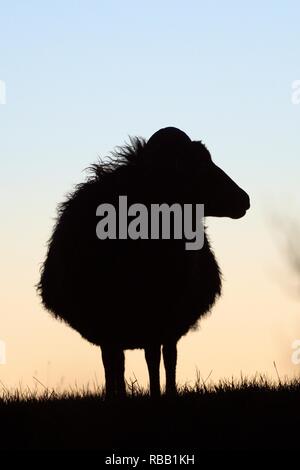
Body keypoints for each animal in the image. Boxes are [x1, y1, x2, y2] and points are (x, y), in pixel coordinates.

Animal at [37, 127, 250, 396]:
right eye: (200, 165)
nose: (245, 199)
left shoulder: (161, 316)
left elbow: (156, 358)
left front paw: (158, 393)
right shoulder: (111, 321)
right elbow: (115, 363)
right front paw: (116, 396)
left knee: (168, 356)